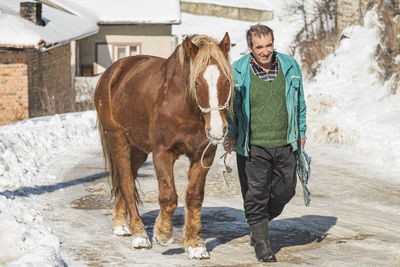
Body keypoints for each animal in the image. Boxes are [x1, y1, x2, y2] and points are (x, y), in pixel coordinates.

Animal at [95, 33, 233, 260]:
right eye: (196, 83)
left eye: (227, 81)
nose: (217, 129)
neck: (183, 106)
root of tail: (112, 72)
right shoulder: (163, 153)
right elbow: (168, 197)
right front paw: (162, 233)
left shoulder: (203, 155)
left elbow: (194, 197)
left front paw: (196, 245)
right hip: (118, 139)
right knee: (126, 182)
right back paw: (139, 235)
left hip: (138, 149)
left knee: (128, 178)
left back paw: (121, 224)